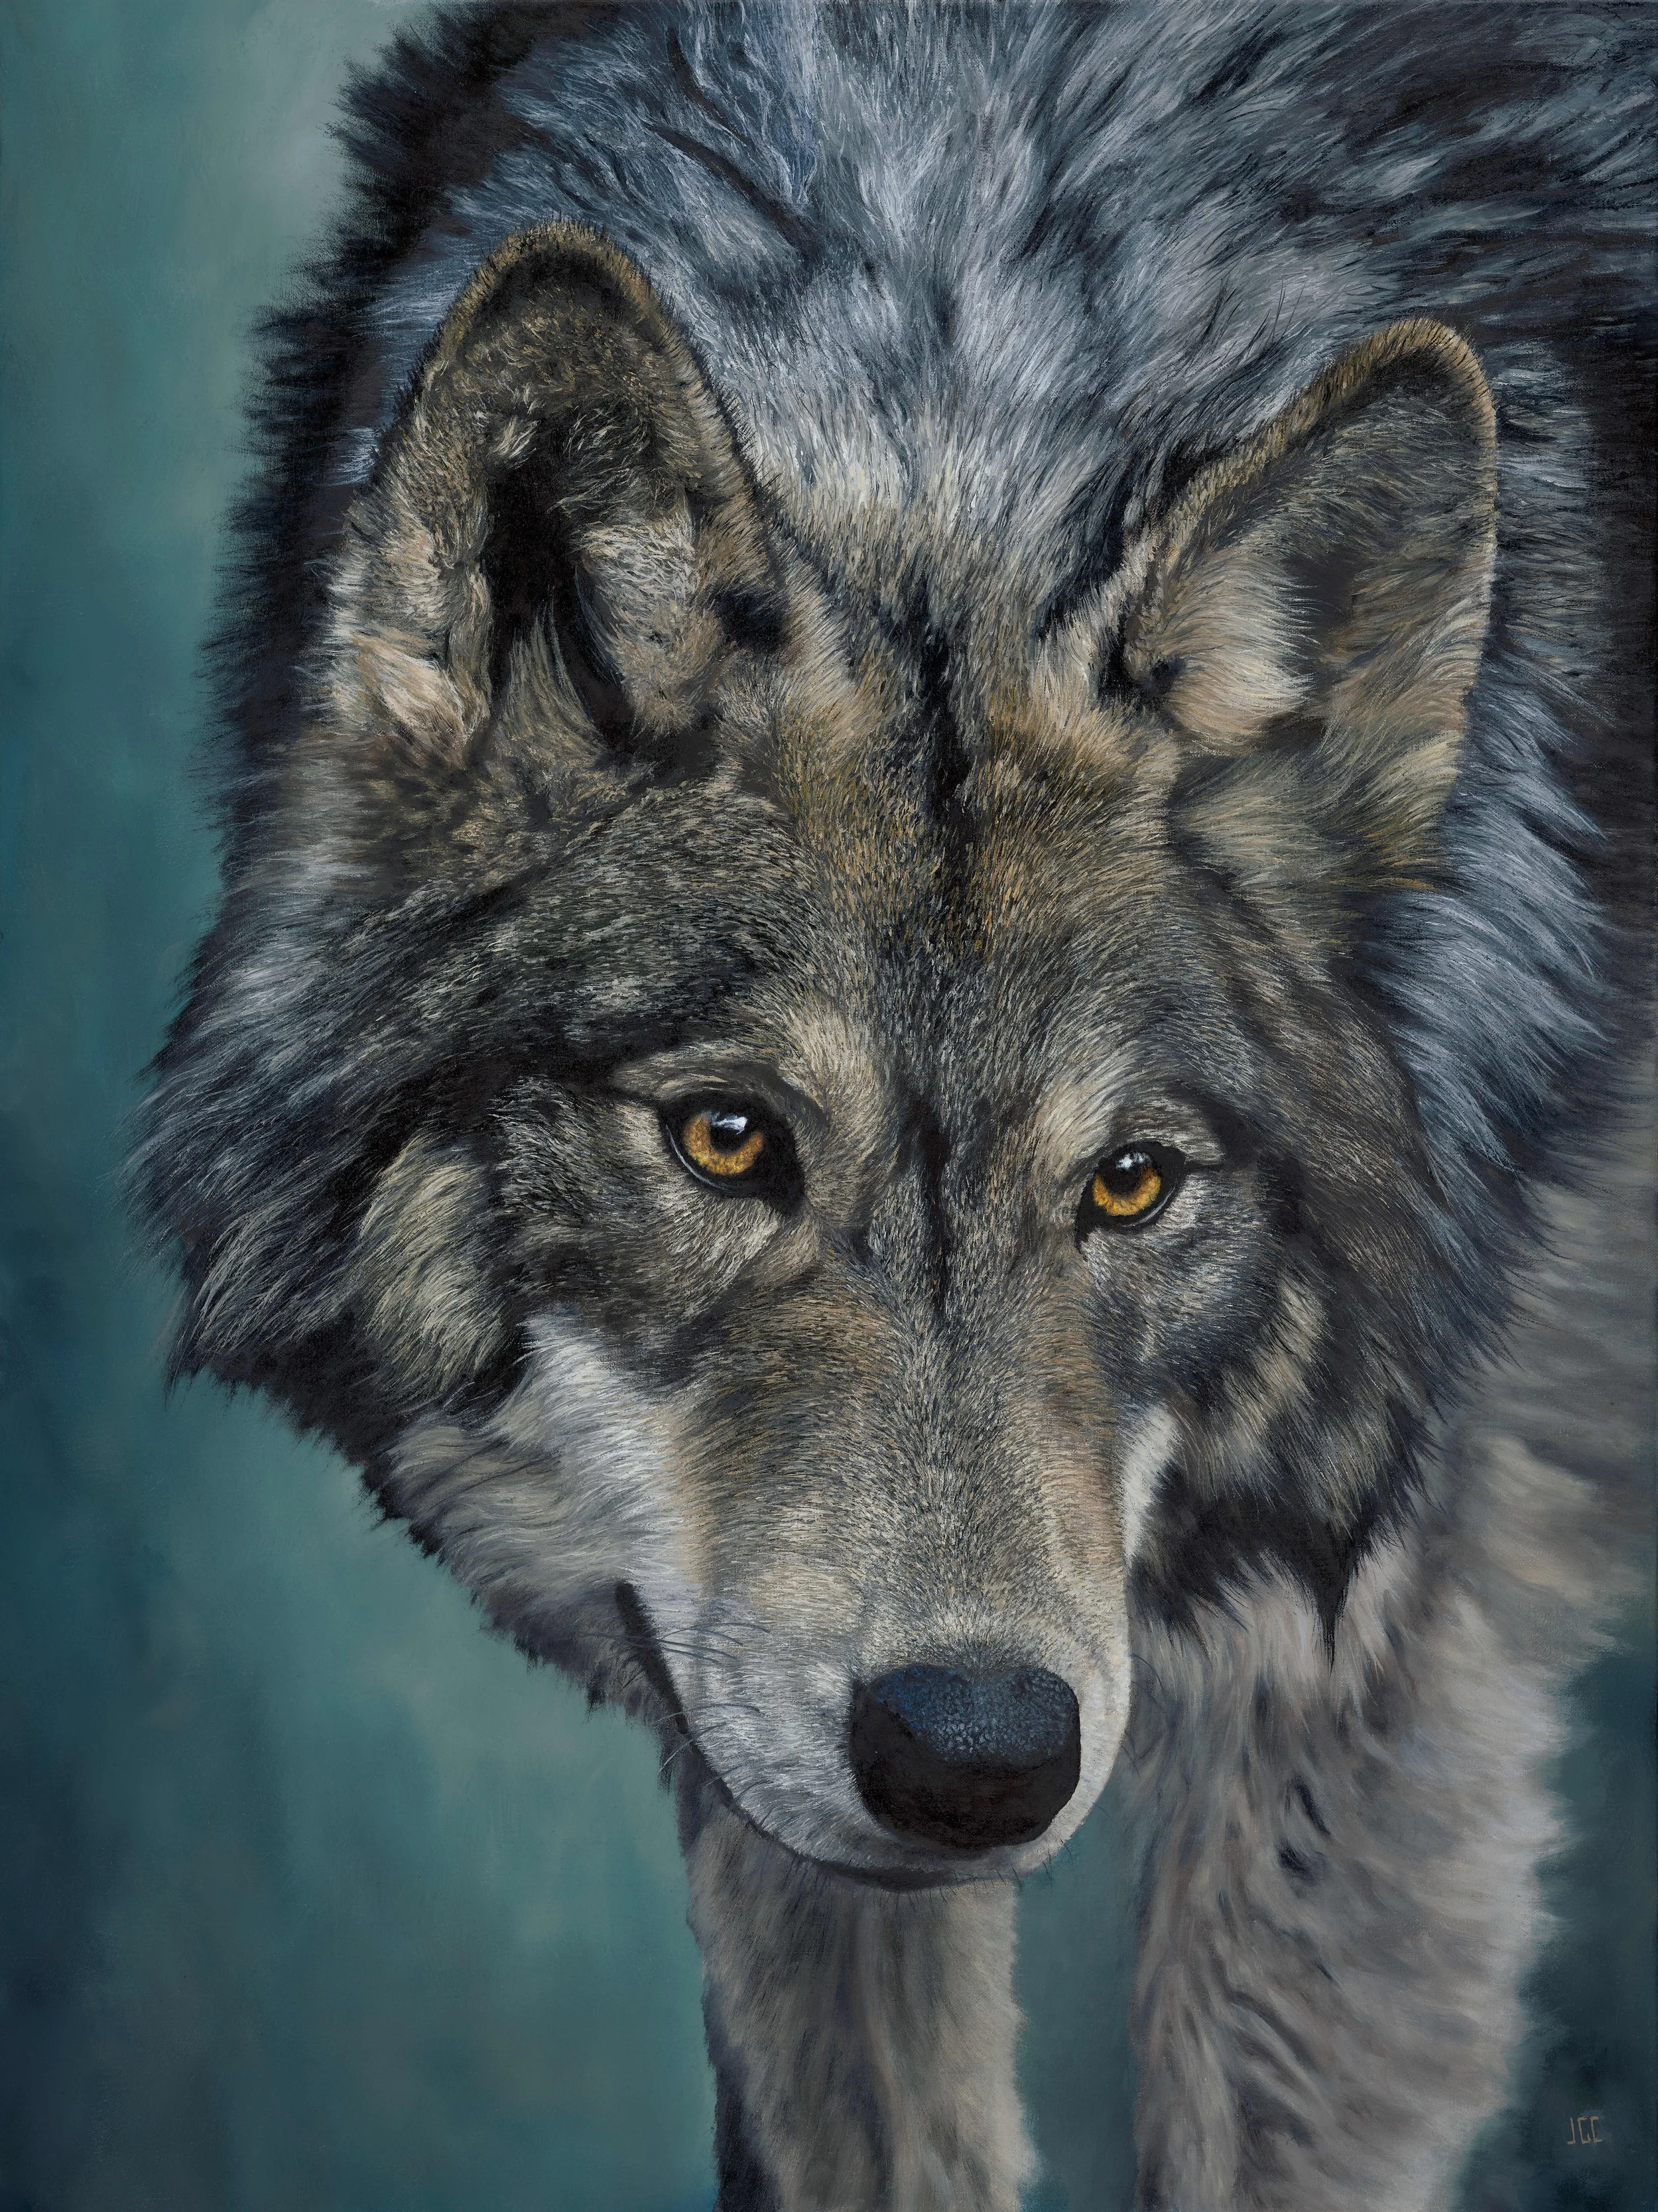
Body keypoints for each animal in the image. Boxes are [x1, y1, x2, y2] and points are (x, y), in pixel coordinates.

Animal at [135, 5, 1655, 2207]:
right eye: (726, 1140)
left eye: (1131, 1184)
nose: (976, 1755)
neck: (957, 384)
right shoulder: (762, 1708)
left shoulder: (1376, 1661)